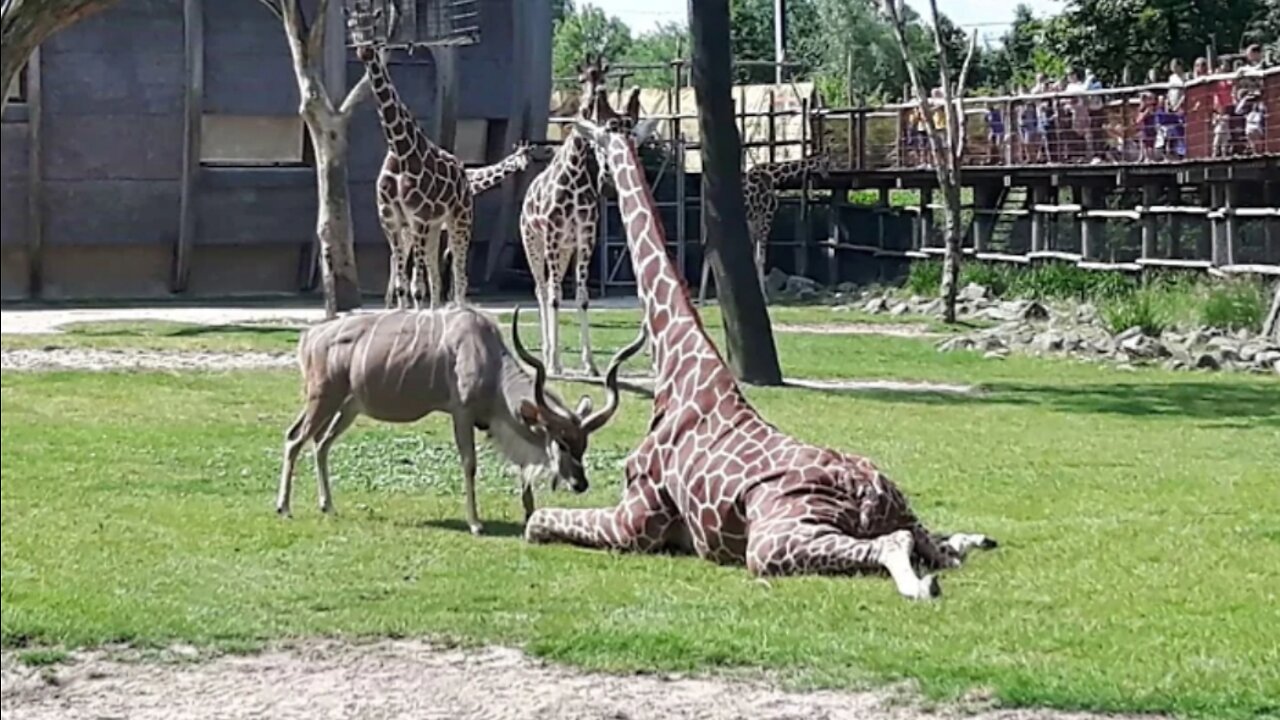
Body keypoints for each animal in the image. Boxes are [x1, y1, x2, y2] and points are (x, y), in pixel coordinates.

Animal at [275, 302, 645, 532]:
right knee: (295, 438)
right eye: (562, 444)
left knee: (320, 443)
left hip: (348, 407)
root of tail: (309, 338)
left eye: (584, 445)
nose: (580, 484)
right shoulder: (462, 413)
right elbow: (469, 464)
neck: (488, 360)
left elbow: (518, 466)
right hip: (323, 398)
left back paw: (327, 505)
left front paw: (529, 512)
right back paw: (284, 507)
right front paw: (476, 523)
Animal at [519, 59, 660, 376]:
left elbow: (582, 298)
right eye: (583, 77)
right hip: (534, 243)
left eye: (603, 77)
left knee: (551, 287)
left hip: (563, 251)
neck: (574, 173)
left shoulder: (585, 238)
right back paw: (547, 354)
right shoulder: (553, 236)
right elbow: (555, 297)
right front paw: (555, 363)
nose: (592, 98)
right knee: (541, 289)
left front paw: (590, 364)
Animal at [696, 154, 834, 302]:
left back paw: (703, 298)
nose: (827, 176)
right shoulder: (767, 215)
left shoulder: (754, 220)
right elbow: (760, 258)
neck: (774, 175)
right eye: (826, 164)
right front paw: (764, 296)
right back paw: (704, 298)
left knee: (709, 252)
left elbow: (753, 255)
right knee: (711, 252)